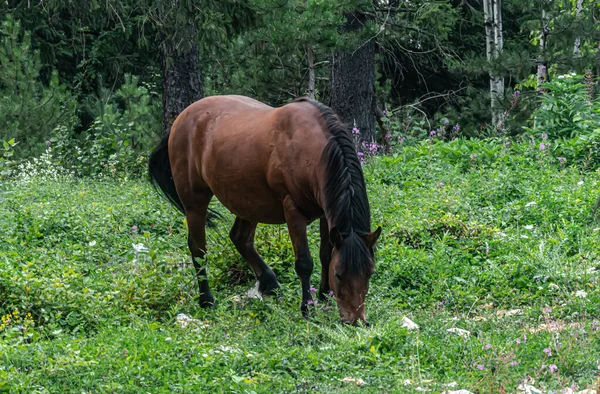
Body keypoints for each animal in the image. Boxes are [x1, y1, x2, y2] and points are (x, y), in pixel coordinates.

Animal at [151, 94, 384, 324]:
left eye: (370, 273)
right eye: (338, 274)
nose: (356, 320)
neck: (310, 150)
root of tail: (180, 120)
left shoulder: (326, 214)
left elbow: (325, 254)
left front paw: (324, 295)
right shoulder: (293, 210)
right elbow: (304, 263)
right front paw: (307, 308)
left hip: (249, 203)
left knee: (240, 238)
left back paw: (269, 284)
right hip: (194, 203)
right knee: (198, 249)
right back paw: (207, 300)